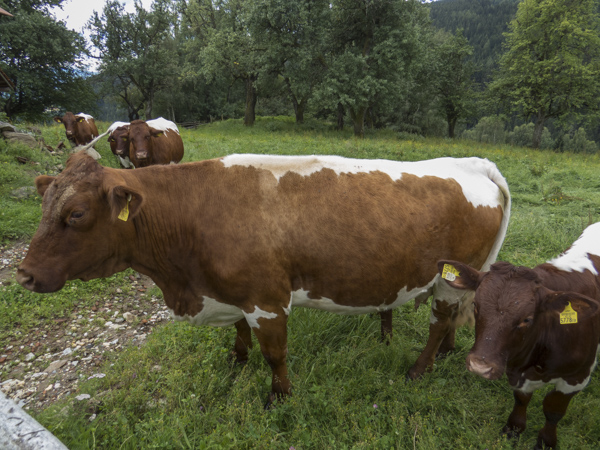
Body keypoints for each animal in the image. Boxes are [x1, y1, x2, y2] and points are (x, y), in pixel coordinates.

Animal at [16, 151, 508, 404]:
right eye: (44, 204)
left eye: (76, 213)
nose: (24, 275)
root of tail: (471, 162)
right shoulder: (230, 292)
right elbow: (237, 332)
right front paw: (236, 361)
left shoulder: (267, 300)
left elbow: (275, 355)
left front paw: (280, 397)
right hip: (460, 278)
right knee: (452, 318)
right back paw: (445, 353)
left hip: (448, 277)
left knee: (439, 321)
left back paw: (420, 368)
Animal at [436, 222, 600, 450]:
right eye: (476, 305)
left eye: (527, 319)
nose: (480, 366)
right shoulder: (515, 369)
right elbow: (521, 399)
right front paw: (514, 429)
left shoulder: (577, 377)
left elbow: (553, 410)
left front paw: (546, 441)